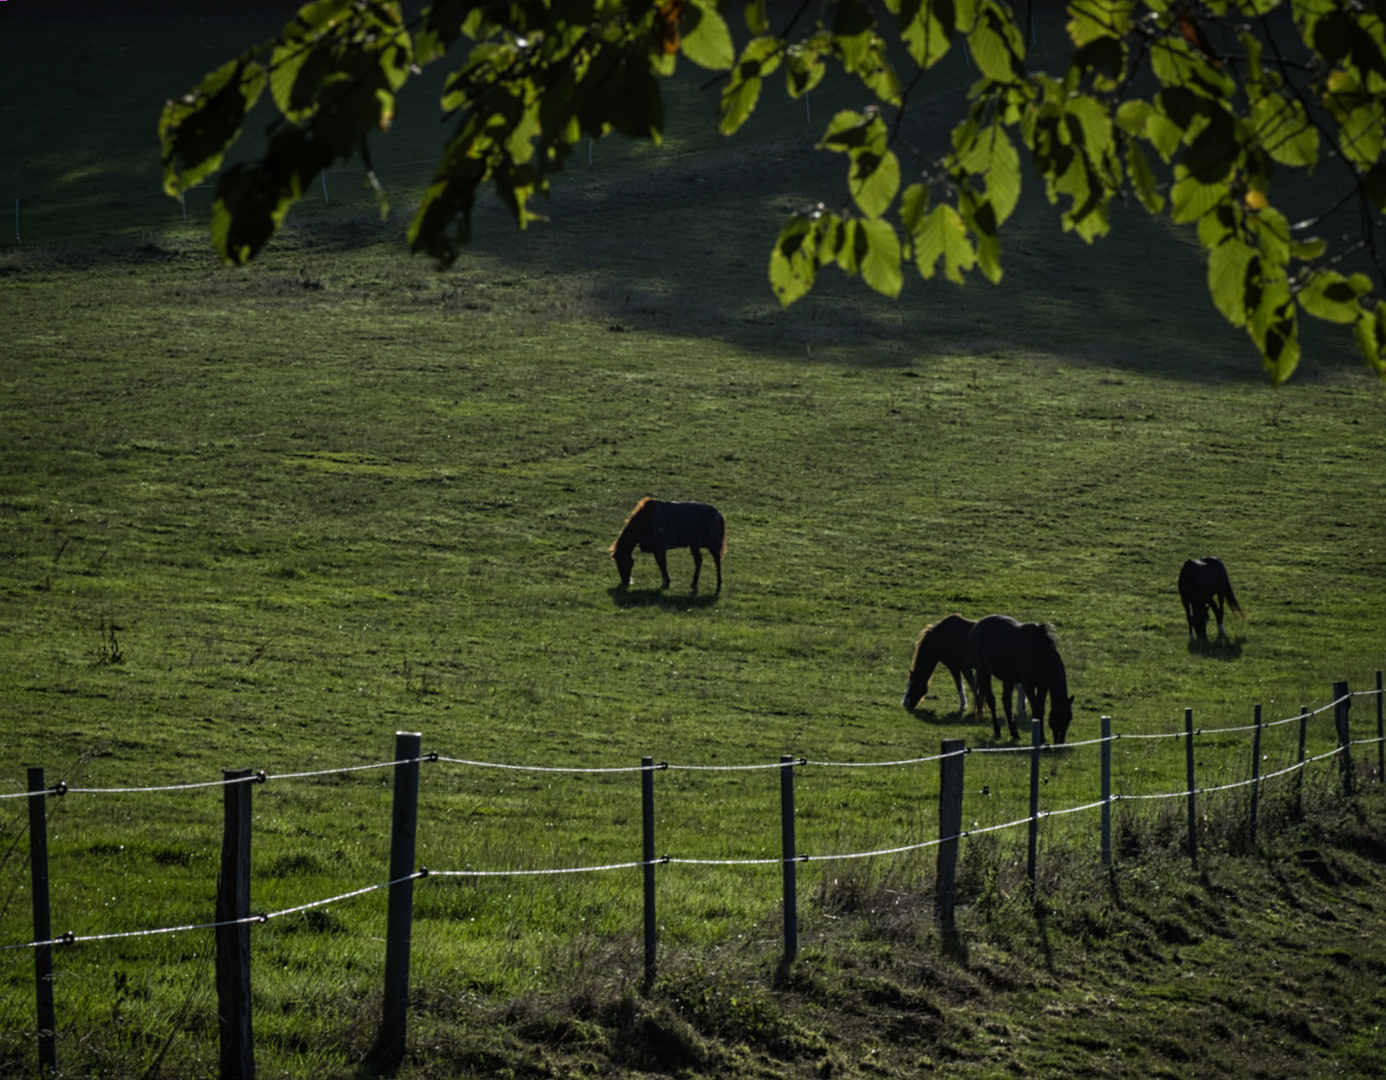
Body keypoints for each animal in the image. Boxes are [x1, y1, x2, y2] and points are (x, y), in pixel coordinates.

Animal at [970, 615, 1075, 743]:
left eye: (1069, 718)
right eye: (1059, 716)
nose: (1060, 741)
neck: (1039, 651)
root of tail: (977, 626)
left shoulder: (1043, 686)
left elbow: (1041, 710)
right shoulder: (1029, 685)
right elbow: (1037, 710)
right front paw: (1041, 738)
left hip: (1008, 679)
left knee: (1006, 702)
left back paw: (1014, 733)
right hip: (984, 672)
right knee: (991, 700)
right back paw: (997, 730)